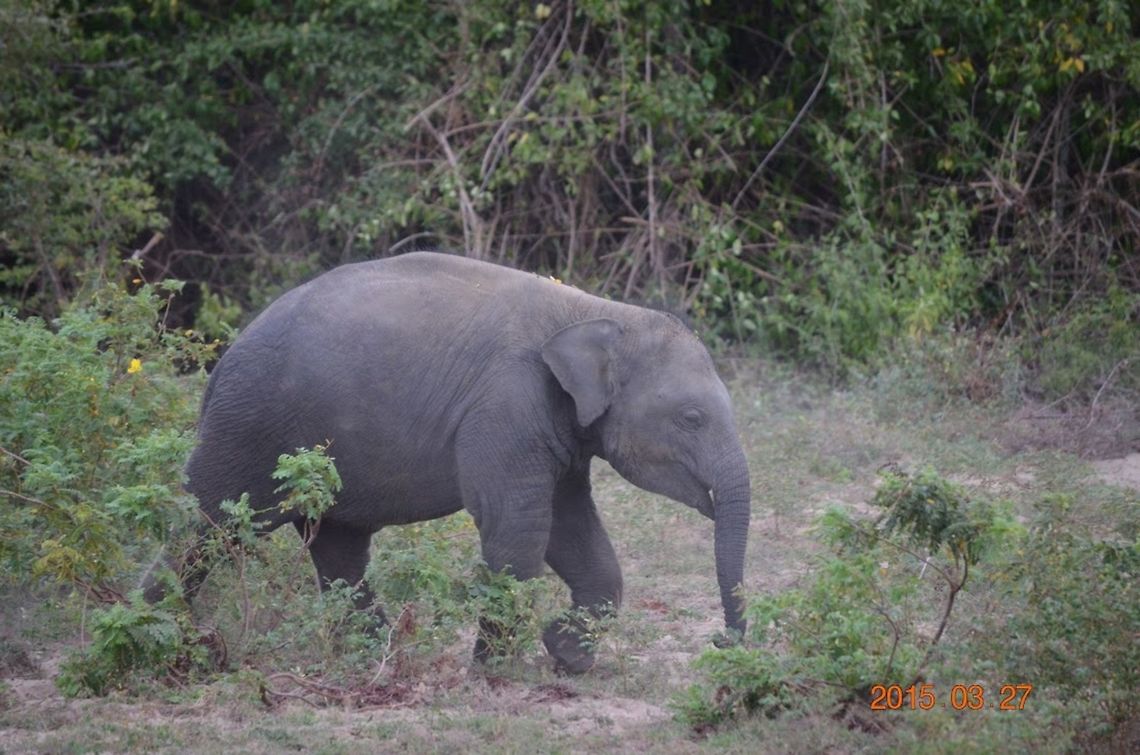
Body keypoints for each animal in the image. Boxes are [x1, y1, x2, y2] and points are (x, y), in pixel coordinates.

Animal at [142, 251, 751, 673]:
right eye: (691, 418)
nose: (723, 641)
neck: (597, 312)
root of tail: (219, 365)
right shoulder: (508, 404)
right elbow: (519, 525)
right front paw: (493, 672)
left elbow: (572, 528)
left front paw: (566, 658)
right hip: (248, 428)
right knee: (206, 525)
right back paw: (156, 639)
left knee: (339, 546)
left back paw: (373, 655)